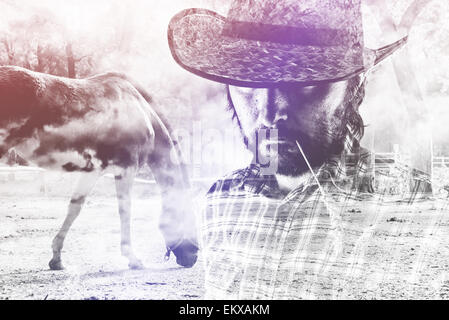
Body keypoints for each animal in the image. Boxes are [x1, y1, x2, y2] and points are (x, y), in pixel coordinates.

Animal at [0, 65, 198, 270]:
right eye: (189, 216)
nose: (192, 257)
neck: (140, 109)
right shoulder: (126, 169)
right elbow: (125, 210)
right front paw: (132, 258)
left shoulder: (92, 171)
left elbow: (74, 209)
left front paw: (57, 258)